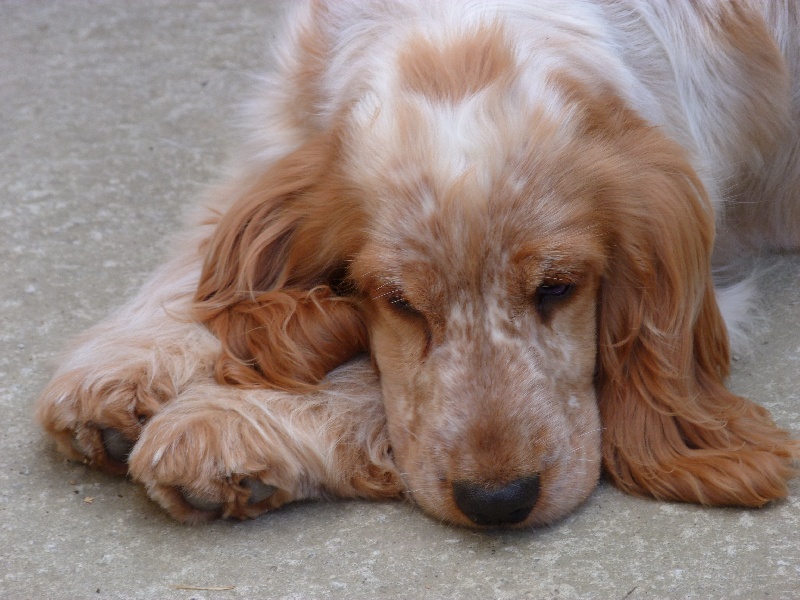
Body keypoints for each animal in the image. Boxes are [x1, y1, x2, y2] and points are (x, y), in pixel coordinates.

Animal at [37, 0, 800, 524]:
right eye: (400, 303)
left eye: (557, 288)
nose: (500, 501)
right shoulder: (279, 140)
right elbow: (207, 267)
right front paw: (116, 377)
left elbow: (367, 384)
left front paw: (221, 426)